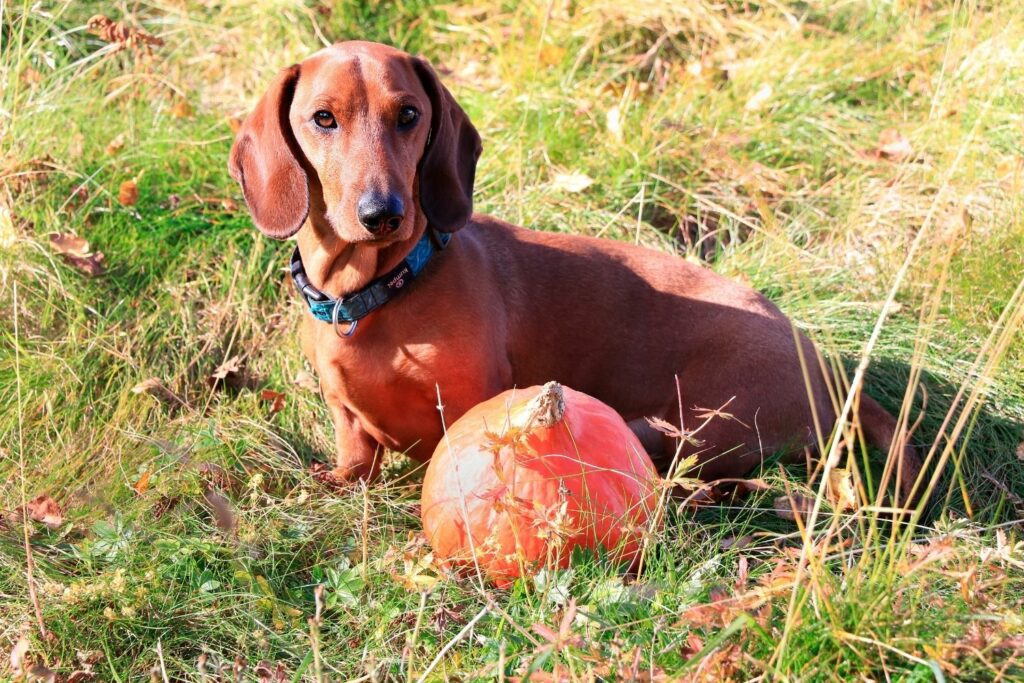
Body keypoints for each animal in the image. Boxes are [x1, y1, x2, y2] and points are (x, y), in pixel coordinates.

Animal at [228, 40, 925, 505]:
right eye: (323, 118)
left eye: (408, 115)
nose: (383, 214)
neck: (378, 298)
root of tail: (832, 370)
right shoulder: (346, 415)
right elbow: (354, 459)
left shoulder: (471, 398)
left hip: (703, 424)